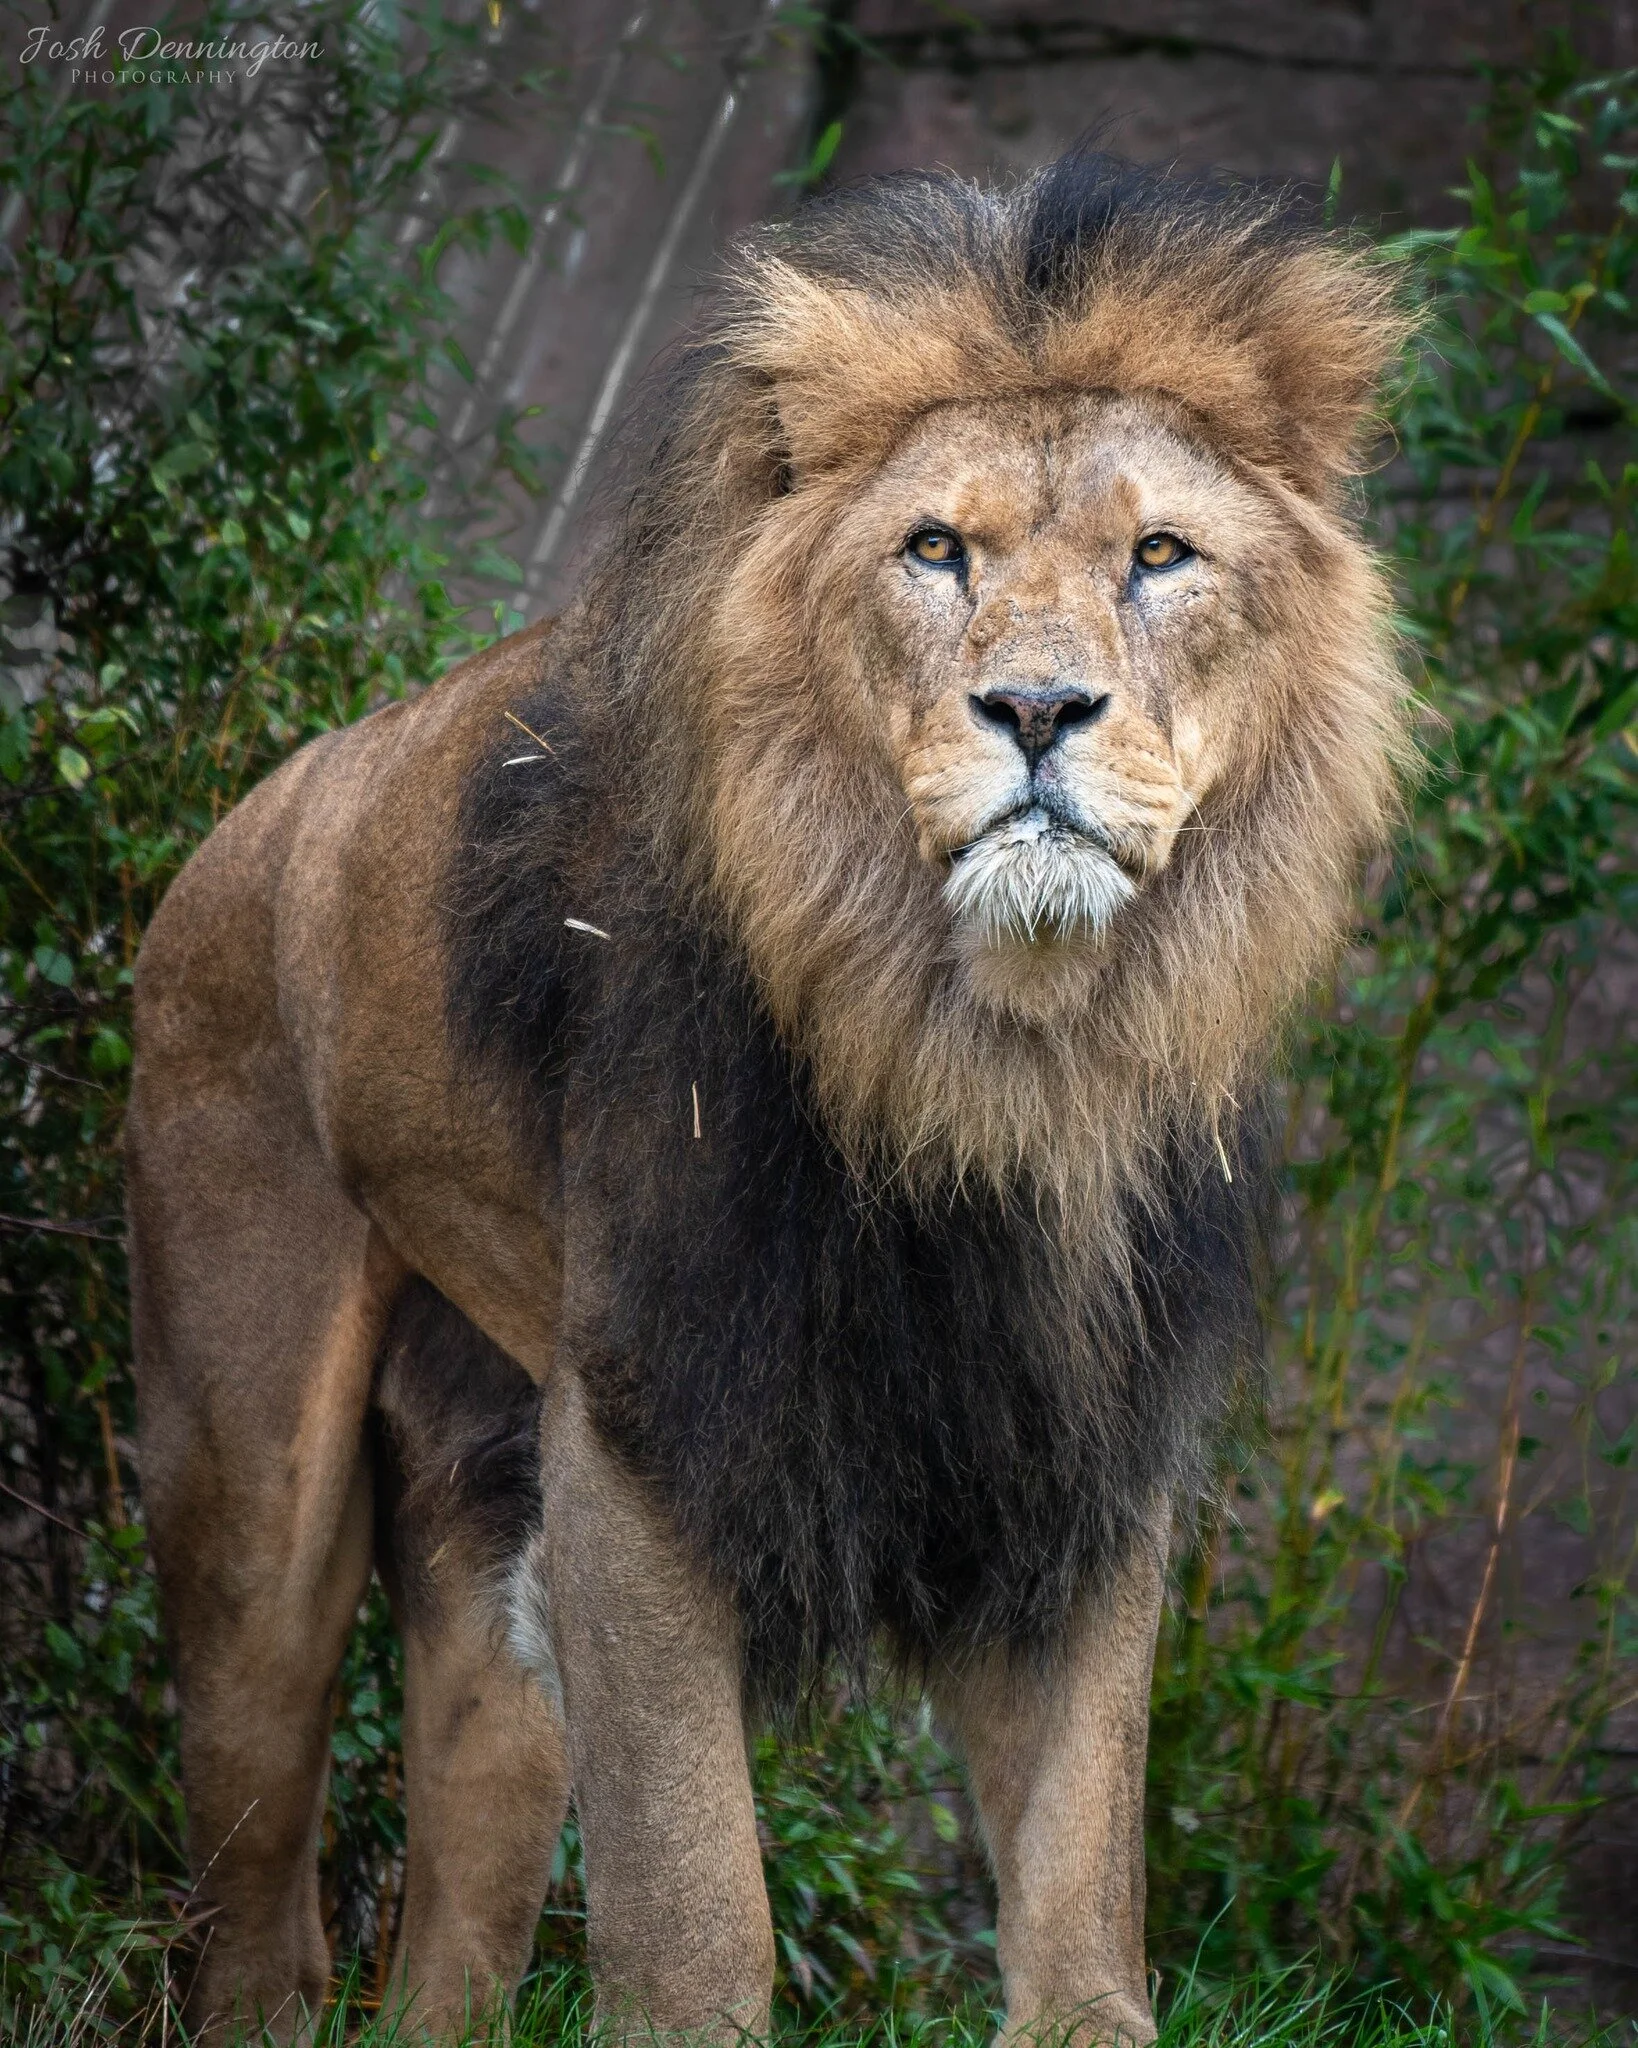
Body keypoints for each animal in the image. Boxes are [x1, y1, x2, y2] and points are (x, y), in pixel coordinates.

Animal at [126, 151, 1410, 2043]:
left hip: (493, 1535)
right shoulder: (643, 1437)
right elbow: (696, 1909)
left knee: (448, 1935)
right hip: (247, 1479)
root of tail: (240, 821)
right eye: (934, 548)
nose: (1037, 705)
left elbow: (1083, 1897)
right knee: (258, 1912)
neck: (987, 1056)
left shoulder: (1071, 1454)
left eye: (1159, 555)